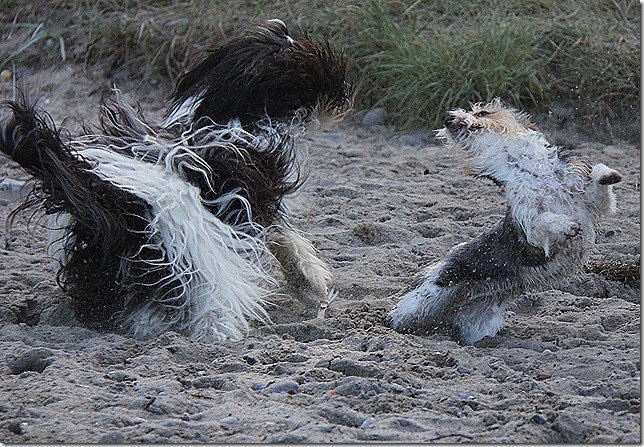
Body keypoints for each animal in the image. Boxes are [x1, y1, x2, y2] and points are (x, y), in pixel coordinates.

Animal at [1, 20, 352, 344]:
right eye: (310, 65)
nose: (344, 94)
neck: (225, 115)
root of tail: (116, 202)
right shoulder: (251, 200)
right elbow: (284, 236)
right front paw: (312, 282)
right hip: (189, 244)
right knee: (209, 294)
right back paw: (218, 331)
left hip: (111, 261)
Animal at [390, 99, 620, 346]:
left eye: (482, 112)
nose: (448, 118)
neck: (527, 167)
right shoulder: (530, 229)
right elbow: (542, 220)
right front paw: (566, 225)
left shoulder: (590, 202)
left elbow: (599, 182)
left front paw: (608, 174)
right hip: (420, 299)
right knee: (397, 316)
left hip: (478, 325)